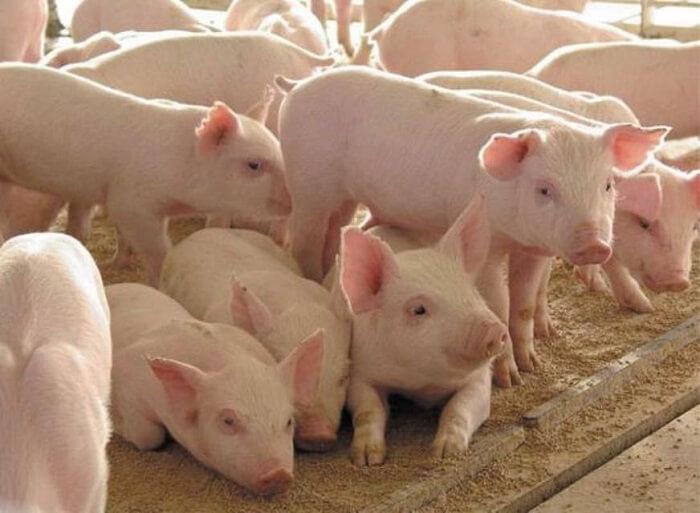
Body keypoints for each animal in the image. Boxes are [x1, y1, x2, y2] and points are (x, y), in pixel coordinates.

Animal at [0, 64, 288, 285]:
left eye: (280, 150)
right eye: (254, 165)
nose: (292, 201)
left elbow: (123, 235)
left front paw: (118, 262)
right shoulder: (131, 202)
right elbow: (157, 249)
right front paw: (157, 282)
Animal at [277, 66, 667, 387]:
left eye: (607, 185)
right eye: (544, 189)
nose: (595, 245)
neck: (515, 232)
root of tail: (297, 85)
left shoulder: (536, 249)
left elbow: (523, 305)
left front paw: (533, 366)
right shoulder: (489, 247)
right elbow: (498, 303)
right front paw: (509, 380)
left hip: (341, 199)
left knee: (334, 231)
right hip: (307, 183)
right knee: (304, 241)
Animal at [326, 197, 507, 465]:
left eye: (472, 292)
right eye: (418, 309)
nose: (495, 328)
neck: (421, 382)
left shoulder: (480, 379)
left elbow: (459, 408)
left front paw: (445, 453)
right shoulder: (359, 372)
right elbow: (369, 410)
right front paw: (367, 459)